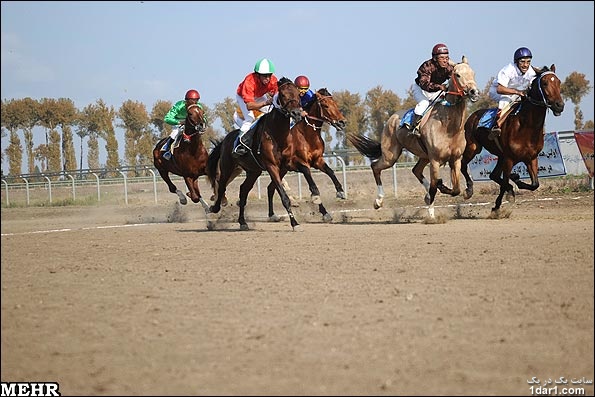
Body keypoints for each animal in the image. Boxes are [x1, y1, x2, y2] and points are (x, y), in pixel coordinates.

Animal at [207, 76, 304, 229]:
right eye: (283, 95)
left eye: (298, 94)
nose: (296, 113)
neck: (277, 135)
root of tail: (225, 140)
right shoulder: (271, 166)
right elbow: (283, 196)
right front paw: (294, 223)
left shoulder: (285, 166)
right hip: (227, 167)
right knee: (221, 185)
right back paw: (215, 208)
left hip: (253, 171)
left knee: (243, 190)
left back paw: (242, 222)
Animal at [266, 87, 346, 223]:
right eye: (325, 105)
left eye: (335, 103)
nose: (342, 122)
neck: (307, 135)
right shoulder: (299, 163)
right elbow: (313, 187)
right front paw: (319, 202)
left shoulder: (317, 160)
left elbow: (330, 172)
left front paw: (340, 192)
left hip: (281, 170)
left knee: (270, 188)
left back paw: (272, 215)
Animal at [350, 55, 480, 217]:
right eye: (457, 75)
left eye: (473, 73)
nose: (474, 92)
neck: (448, 127)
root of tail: (392, 118)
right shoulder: (435, 160)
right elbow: (434, 187)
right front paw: (431, 215)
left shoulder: (455, 158)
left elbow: (455, 189)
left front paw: (450, 190)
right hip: (391, 156)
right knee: (375, 167)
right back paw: (378, 201)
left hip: (423, 156)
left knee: (416, 170)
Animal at [464, 65, 564, 213]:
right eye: (545, 83)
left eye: (558, 82)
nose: (559, 105)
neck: (526, 126)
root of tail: (472, 116)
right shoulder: (510, 159)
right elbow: (505, 182)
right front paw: (502, 201)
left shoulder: (531, 158)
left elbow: (534, 184)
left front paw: (513, 184)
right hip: (473, 147)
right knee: (463, 165)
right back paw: (469, 190)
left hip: (500, 156)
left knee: (493, 175)